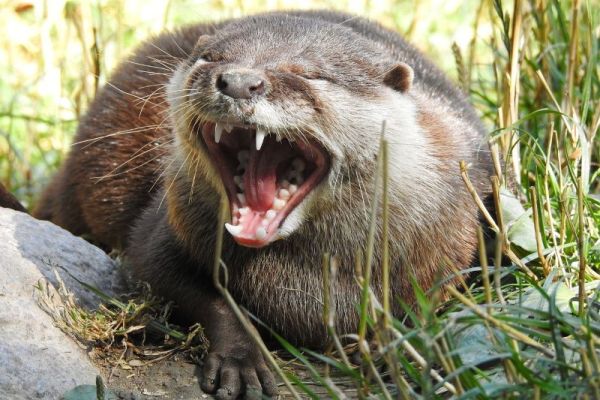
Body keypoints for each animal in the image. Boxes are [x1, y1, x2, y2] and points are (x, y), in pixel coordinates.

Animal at [35, 11, 493, 399]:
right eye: (211, 59)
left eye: (309, 74)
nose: (238, 80)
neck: (302, 282)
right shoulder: (166, 227)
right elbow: (172, 276)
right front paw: (240, 358)